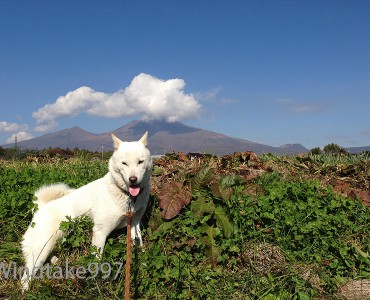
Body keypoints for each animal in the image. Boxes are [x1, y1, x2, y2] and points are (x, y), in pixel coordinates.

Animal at [21, 132, 152, 290]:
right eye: (124, 163)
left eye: (140, 162)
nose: (133, 179)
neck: (128, 198)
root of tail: (40, 207)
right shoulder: (100, 232)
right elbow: (97, 260)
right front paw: (98, 281)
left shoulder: (134, 224)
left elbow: (140, 246)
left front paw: (144, 264)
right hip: (41, 249)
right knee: (26, 276)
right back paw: (26, 290)